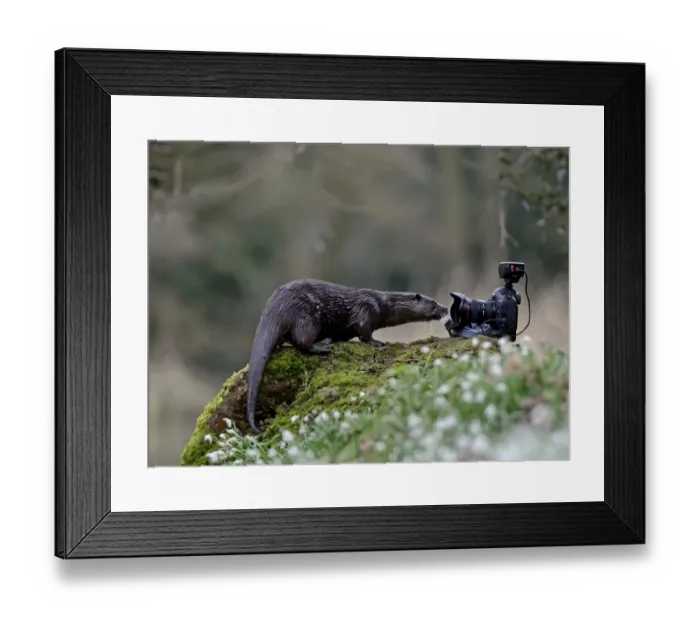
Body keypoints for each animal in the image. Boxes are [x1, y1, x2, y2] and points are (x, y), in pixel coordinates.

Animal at [244, 278, 449, 434]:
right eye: (434, 303)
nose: (446, 308)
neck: (383, 304)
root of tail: (276, 306)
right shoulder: (367, 311)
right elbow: (365, 334)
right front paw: (379, 343)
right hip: (306, 317)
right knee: (302, 340)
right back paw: (323, 346)